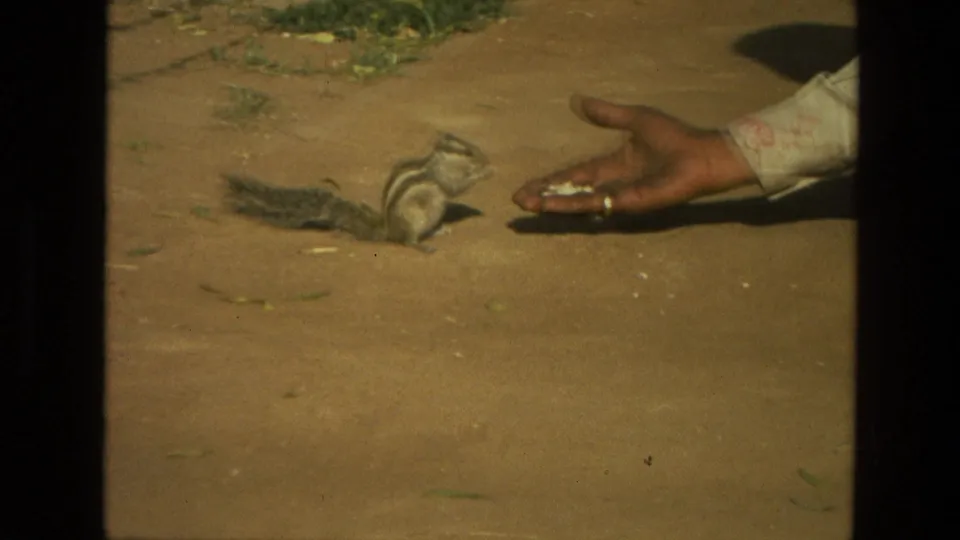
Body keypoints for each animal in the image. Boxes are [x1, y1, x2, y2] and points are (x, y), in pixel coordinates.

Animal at [221, 132, 493, 253]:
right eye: (468, 152)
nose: (486, 159)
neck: (439, 162)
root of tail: (387, 230)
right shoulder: (443, 178)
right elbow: (455, 187)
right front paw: (485, 172)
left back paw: (438, 230)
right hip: (413, 220)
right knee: (406, 241)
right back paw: (423, 246)